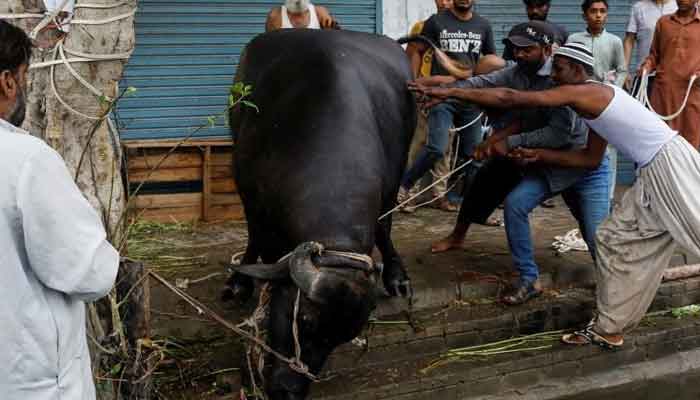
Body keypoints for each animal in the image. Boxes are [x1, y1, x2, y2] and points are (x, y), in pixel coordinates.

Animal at [228, 30, 416, 400]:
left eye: (339, 340)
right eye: (304, 321)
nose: (288, 391)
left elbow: (384, 227)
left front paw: (396, 275)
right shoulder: (248, 191)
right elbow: (255, 234)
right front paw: (241, 281)